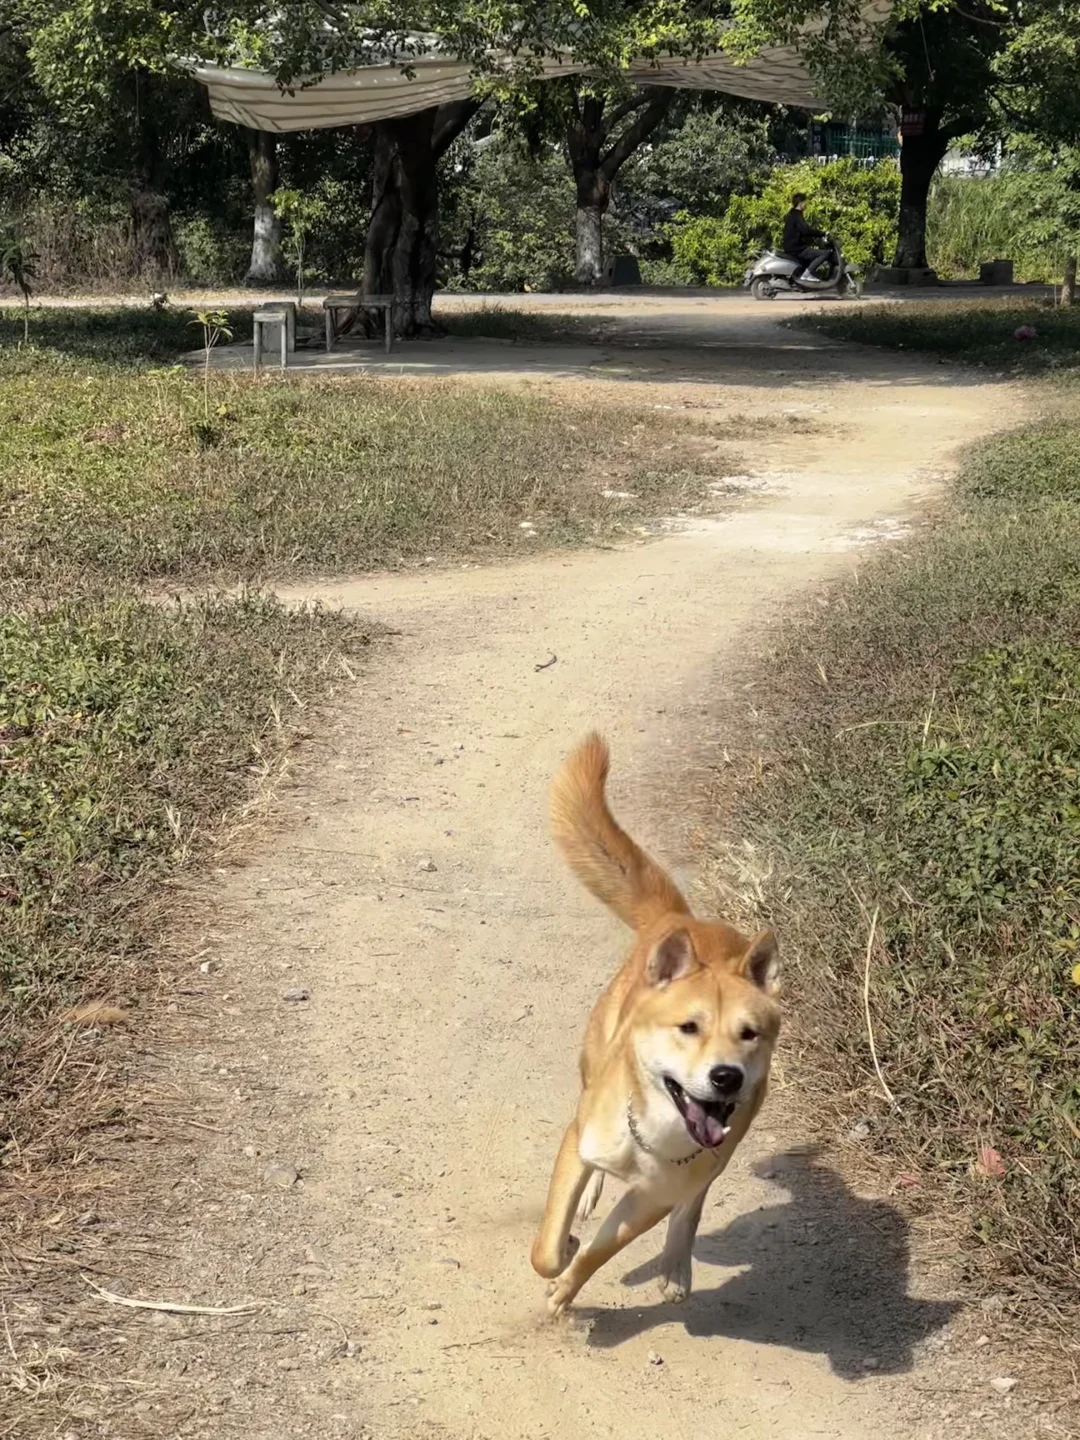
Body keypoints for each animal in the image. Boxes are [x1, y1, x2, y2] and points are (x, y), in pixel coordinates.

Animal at [535, 737, 783, 1313]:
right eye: (688, 1027)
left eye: (749, 1034)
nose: (726, 1077)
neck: (655, 1130)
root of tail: (681, 920)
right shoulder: (580, 1142)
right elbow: (549, 1249)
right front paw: (563, 1253)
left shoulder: (652, 1197)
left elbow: (600, 1252)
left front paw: (569, 1286)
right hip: (592, 1062)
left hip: (721, 1151)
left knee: (692, 1206)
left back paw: (675, 1264)